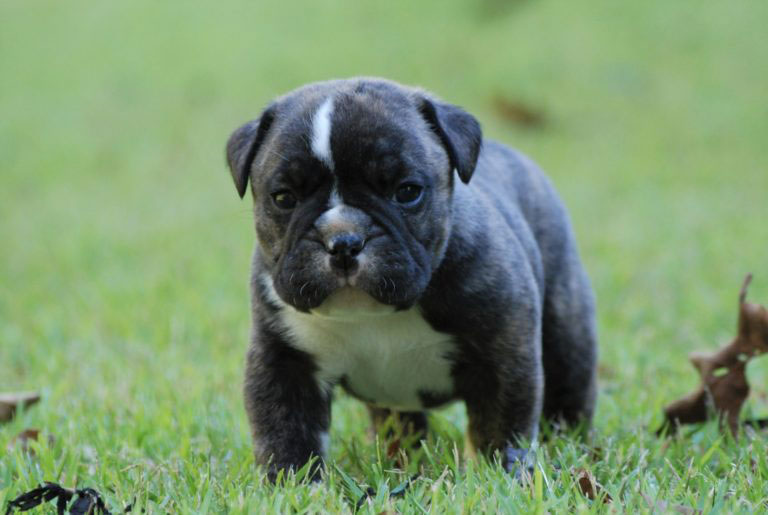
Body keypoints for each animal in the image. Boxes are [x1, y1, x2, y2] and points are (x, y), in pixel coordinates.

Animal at [225, 78, 596, 482]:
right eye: (284, 198)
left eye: (406, 191)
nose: (344, 239)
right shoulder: (285, 361)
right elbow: (285, 431)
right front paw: (293, 484)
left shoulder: (503, 352)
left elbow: (499, 427)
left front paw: (497, 475)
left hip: (565, 328)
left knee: (568, 387)